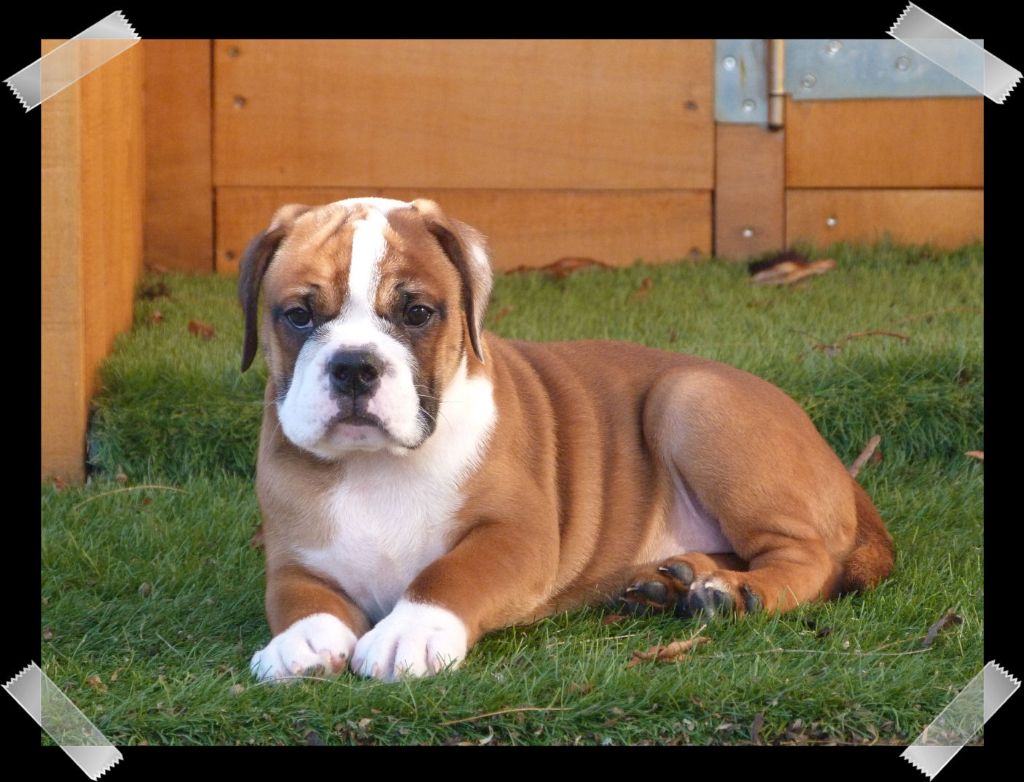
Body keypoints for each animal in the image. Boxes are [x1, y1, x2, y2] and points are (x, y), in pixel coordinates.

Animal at [241, 197, 894, 683]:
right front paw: (302, 641)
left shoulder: (517, 536)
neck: (375, 465)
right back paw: (674, 582)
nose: (354, 367)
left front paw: (411, 631)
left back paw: (735, 593)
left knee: (809, 557)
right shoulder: (292, 556)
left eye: (418, 313)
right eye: (298, 315)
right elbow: (296, 596)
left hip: (691, 400)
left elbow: (451, 573)